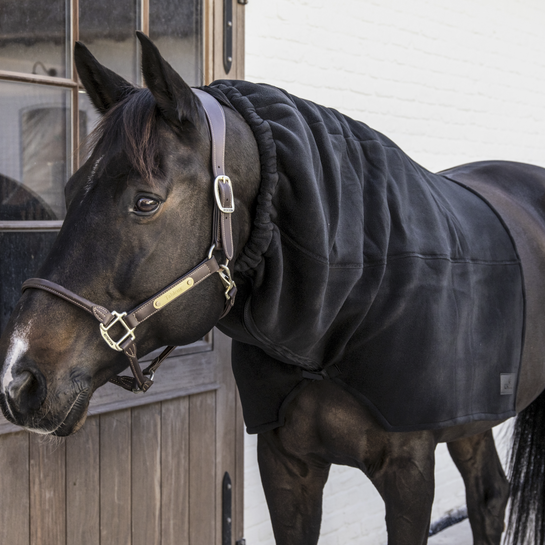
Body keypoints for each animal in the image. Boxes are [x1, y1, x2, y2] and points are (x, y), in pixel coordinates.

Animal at [1, 31, 544, 540]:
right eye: (69, 191)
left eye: (145, 202)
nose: (17, 380)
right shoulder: (285, 468)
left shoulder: (409, 474)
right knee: (490, 496)